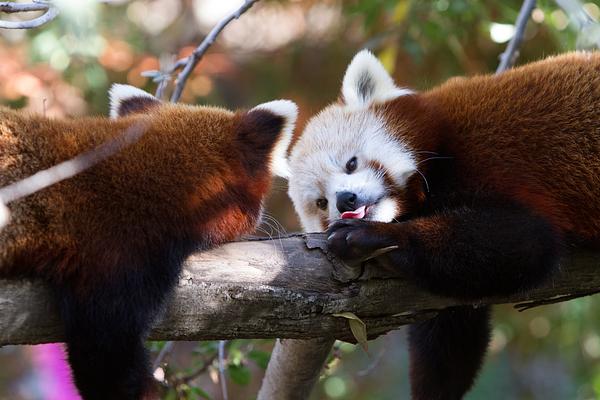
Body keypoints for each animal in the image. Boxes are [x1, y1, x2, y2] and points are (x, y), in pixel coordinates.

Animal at [282, 50, 600, 400]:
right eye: (321, 203)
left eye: (351, 163)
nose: (346, 200)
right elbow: (452, 325)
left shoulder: (494, 165)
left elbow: (528, 242)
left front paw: (374, 237)